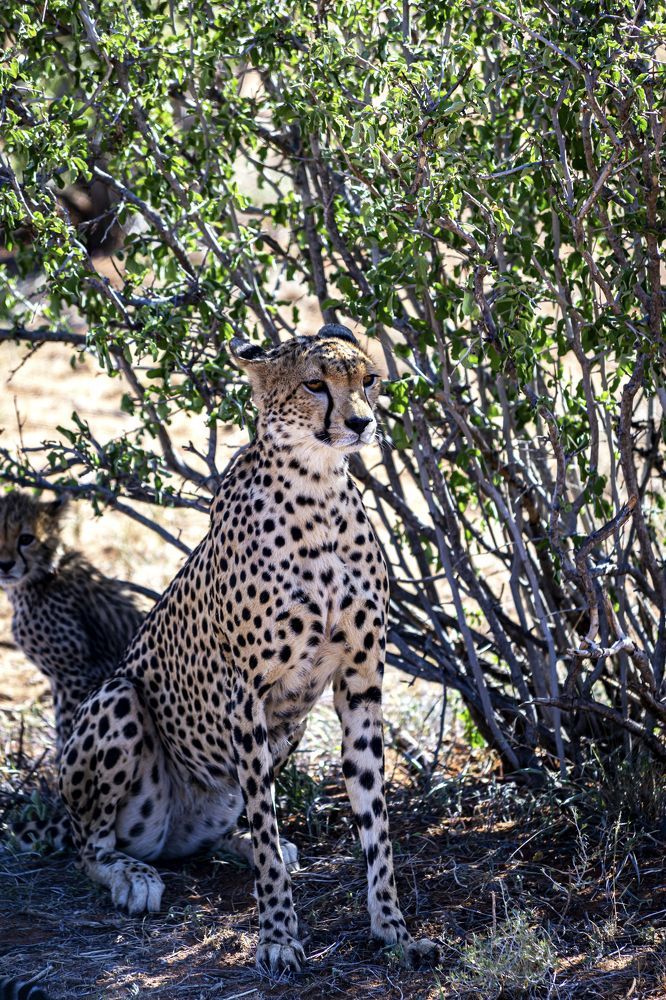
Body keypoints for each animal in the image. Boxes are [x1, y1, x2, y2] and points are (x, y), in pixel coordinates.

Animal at [58, 324, 442, 974]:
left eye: (368, 380)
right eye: (315, 384)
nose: (362, 422)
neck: (318, 491)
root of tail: (170, 835)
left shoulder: (361, 685)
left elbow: (375, 821)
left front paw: (393, 929)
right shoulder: (246, 697)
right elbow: (264, 817)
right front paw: (279, 937)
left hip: (282, 737)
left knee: (217, 836)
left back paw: (251, 846)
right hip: (120, 698)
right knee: (92, 846)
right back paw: (133, 877)